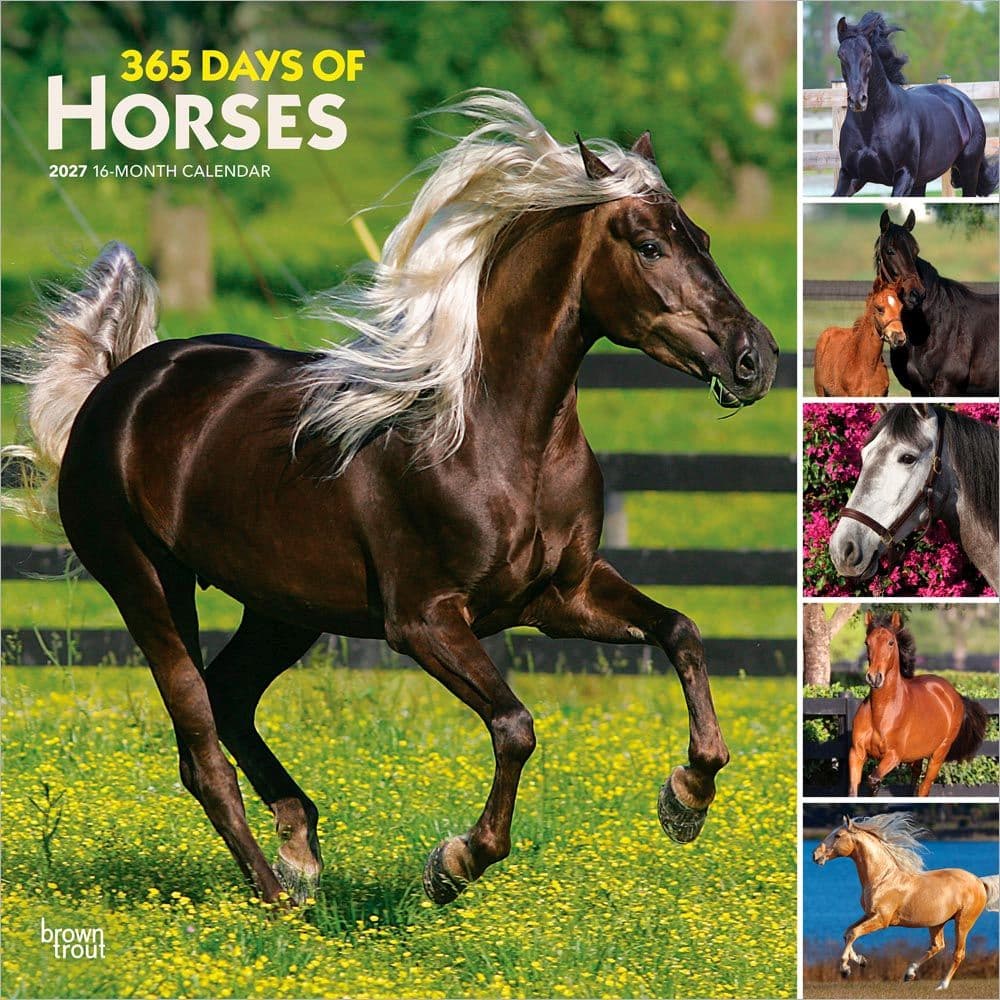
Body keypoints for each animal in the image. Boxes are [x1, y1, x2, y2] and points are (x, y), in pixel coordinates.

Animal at [3, 91, 778, 906]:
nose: (754, 359)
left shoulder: (562, 597)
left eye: (703, 237)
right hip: (147, 587)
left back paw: (300, 848)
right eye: (650, 247)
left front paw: (686, 798)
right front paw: (454, 863)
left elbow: (682, 631)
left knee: (231, 698)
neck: (497, 438)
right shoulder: (424, 620)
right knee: (201, 750)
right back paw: (278, 899)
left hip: (284, 609)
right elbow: (515, 725)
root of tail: (116, 388)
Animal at [812, 813, 1000, 990]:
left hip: (963, 921)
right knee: (937, 946)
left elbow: (853, 933)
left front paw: (845, 969)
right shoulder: (869, 914)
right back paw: (910, 974)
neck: (882, 878)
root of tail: (979, 881)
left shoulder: (882, 919)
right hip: (937, 922)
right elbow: (847, 933)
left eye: (838, 835)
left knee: (958, 953)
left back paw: (941, 985)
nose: (815, 855)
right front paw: (861, 960)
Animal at [833, 12, 999, 197]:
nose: (857, 100)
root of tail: (966, 104)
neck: (872, 125)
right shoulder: (850, 175)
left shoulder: (905, 174)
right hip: (922, 180)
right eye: (841, 55)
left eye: (868, 53)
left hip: (969, 171)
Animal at [848, 612, 987, 797]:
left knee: (924, 787)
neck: (881, 712)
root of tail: (954, 695)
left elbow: (872, 780)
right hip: (918, 754)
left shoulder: (893, 756)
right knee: (915, 778)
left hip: (939, 754)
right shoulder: (856, 753)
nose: (874, 678)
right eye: (867, 643)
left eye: (891, 642)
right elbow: (855, 790)